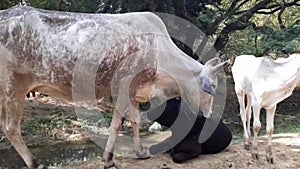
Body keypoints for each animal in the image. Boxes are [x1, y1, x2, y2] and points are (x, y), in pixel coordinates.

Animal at [0, 5, 229, 169]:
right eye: (213, 86)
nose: (209, 116)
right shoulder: (124, 87)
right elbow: (119, 124)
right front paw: (110, 159)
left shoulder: (135, 93)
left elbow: (133, 122)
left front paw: (139, 153)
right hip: (13, 88)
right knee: (11, 128)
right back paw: (35, 163)